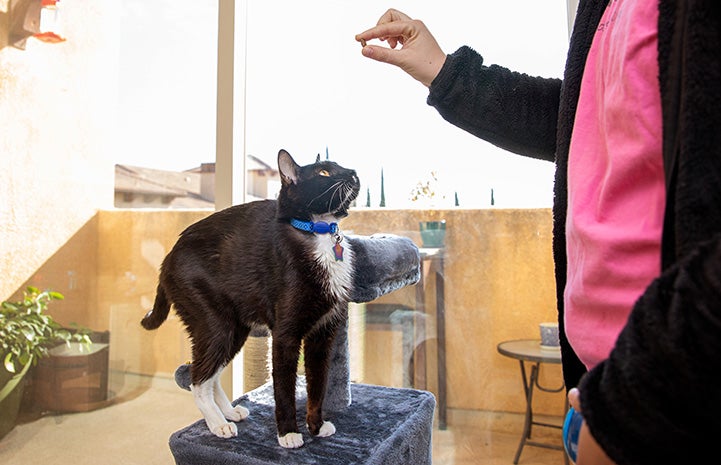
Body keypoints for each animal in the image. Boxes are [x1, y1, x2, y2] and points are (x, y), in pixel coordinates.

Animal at [141, 149, 360, 446]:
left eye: (340, 166)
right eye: (324, 172)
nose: (353, 173)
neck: (319, 232)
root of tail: (167, 259)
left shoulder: (323, 334)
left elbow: (318, 386)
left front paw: (316, 426)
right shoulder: (285, 335)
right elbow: (284, 389)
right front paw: (289, 433)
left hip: (235, 328)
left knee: (210, 374)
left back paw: (229, 412)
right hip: (215, 323)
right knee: (198, 378)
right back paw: (218, 424)